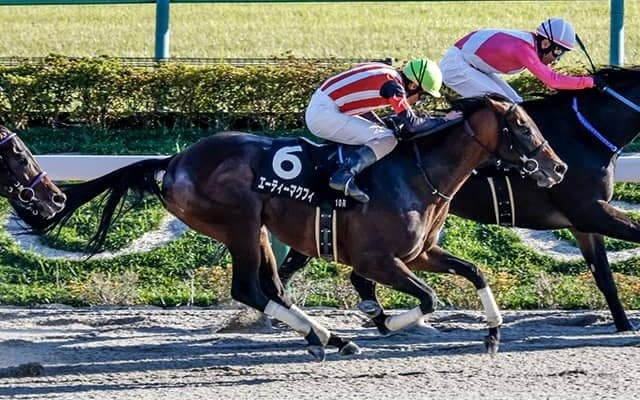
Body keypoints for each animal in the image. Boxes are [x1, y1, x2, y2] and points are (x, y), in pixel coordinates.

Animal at [9, 94, 566, 359]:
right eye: (522, 126)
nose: (557, 167)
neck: (415, 173)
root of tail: (175, 161)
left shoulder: (419, 254)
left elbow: (474, 272)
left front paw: (493, 333)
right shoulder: (379, 259)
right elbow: (428, 299)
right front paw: (384, 321)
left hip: (255, 229)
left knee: (271, 287)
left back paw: (328, 336)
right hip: (238, 222)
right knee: (250, 288)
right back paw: (325, 334)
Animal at [279, 66, 640, 334]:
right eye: (523, 128)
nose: (559, 168)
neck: (585, 133)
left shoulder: (584, 222)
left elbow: (604, 276)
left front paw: (623, 325)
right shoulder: (589, 211)